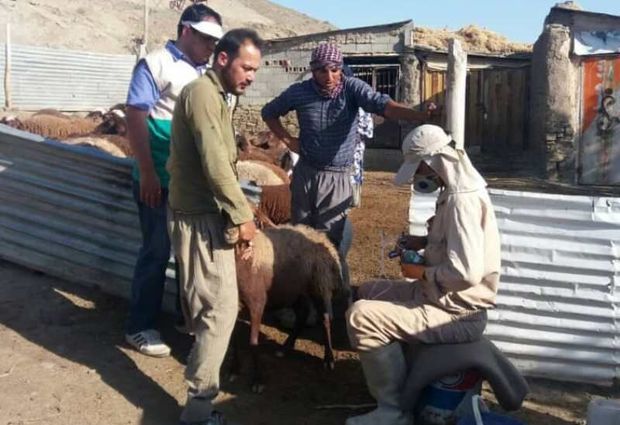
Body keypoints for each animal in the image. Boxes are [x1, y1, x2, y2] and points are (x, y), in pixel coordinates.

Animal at [230, 224, 346, 392]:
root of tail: (322, 238)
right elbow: (233, 339)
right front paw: (234, 369)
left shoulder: (257, 301)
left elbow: (253, 342)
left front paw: (257, 380)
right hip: (295, 290)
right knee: (302, 315)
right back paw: (285, 348)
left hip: (318, 284)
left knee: (325, 318)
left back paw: (328, 358)